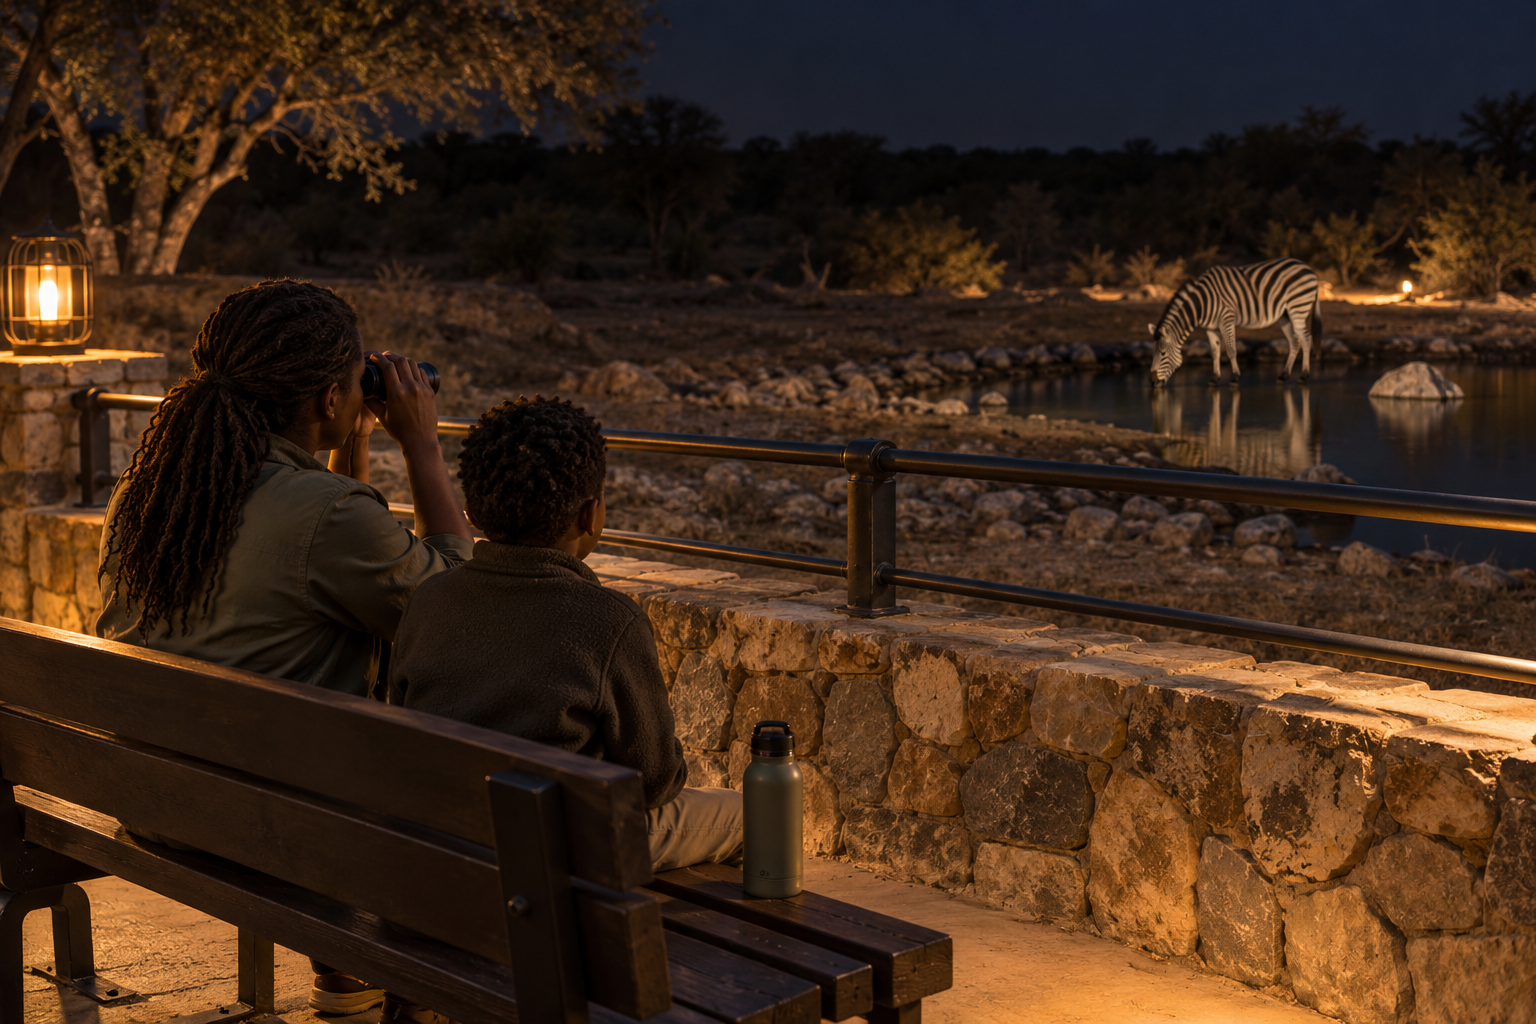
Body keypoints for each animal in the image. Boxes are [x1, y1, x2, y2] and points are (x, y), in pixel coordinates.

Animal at [1148, 257, 1322, 388]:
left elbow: (1231, 350)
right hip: (1285, 315)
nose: (1152, 382)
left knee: (1307, 339)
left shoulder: (1226, 319)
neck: (1203, 303)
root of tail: (1309, 268)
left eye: (1163, 354)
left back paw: (1304, 375)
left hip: (1298, 308)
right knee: (1295, 342)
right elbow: (1214, 352)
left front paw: (1235, 377)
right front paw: (1215, 378)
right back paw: (1284, 376)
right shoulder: (1210, 328)